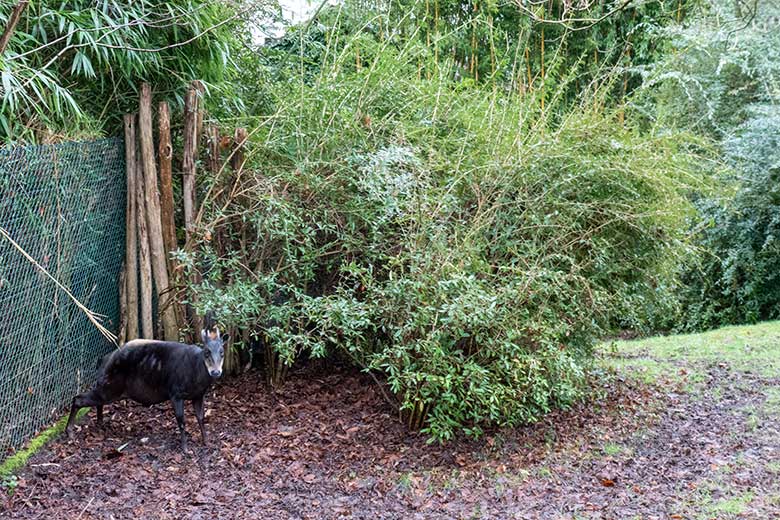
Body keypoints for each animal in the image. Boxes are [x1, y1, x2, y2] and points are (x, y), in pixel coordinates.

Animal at [65, 332, 227, 448]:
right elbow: (181, 421)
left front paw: (206, 442)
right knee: (77, 399)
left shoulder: (198, 395)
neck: (196, 372)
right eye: (206, 352)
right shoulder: (175, 393)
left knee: (96, 402)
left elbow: (201, 418)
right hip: (109, 387)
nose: (215, 372)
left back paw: (100, 424)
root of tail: (103, 360)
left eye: (222, 352)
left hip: (108, 389)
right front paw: (185, 449)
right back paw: (70, 433)